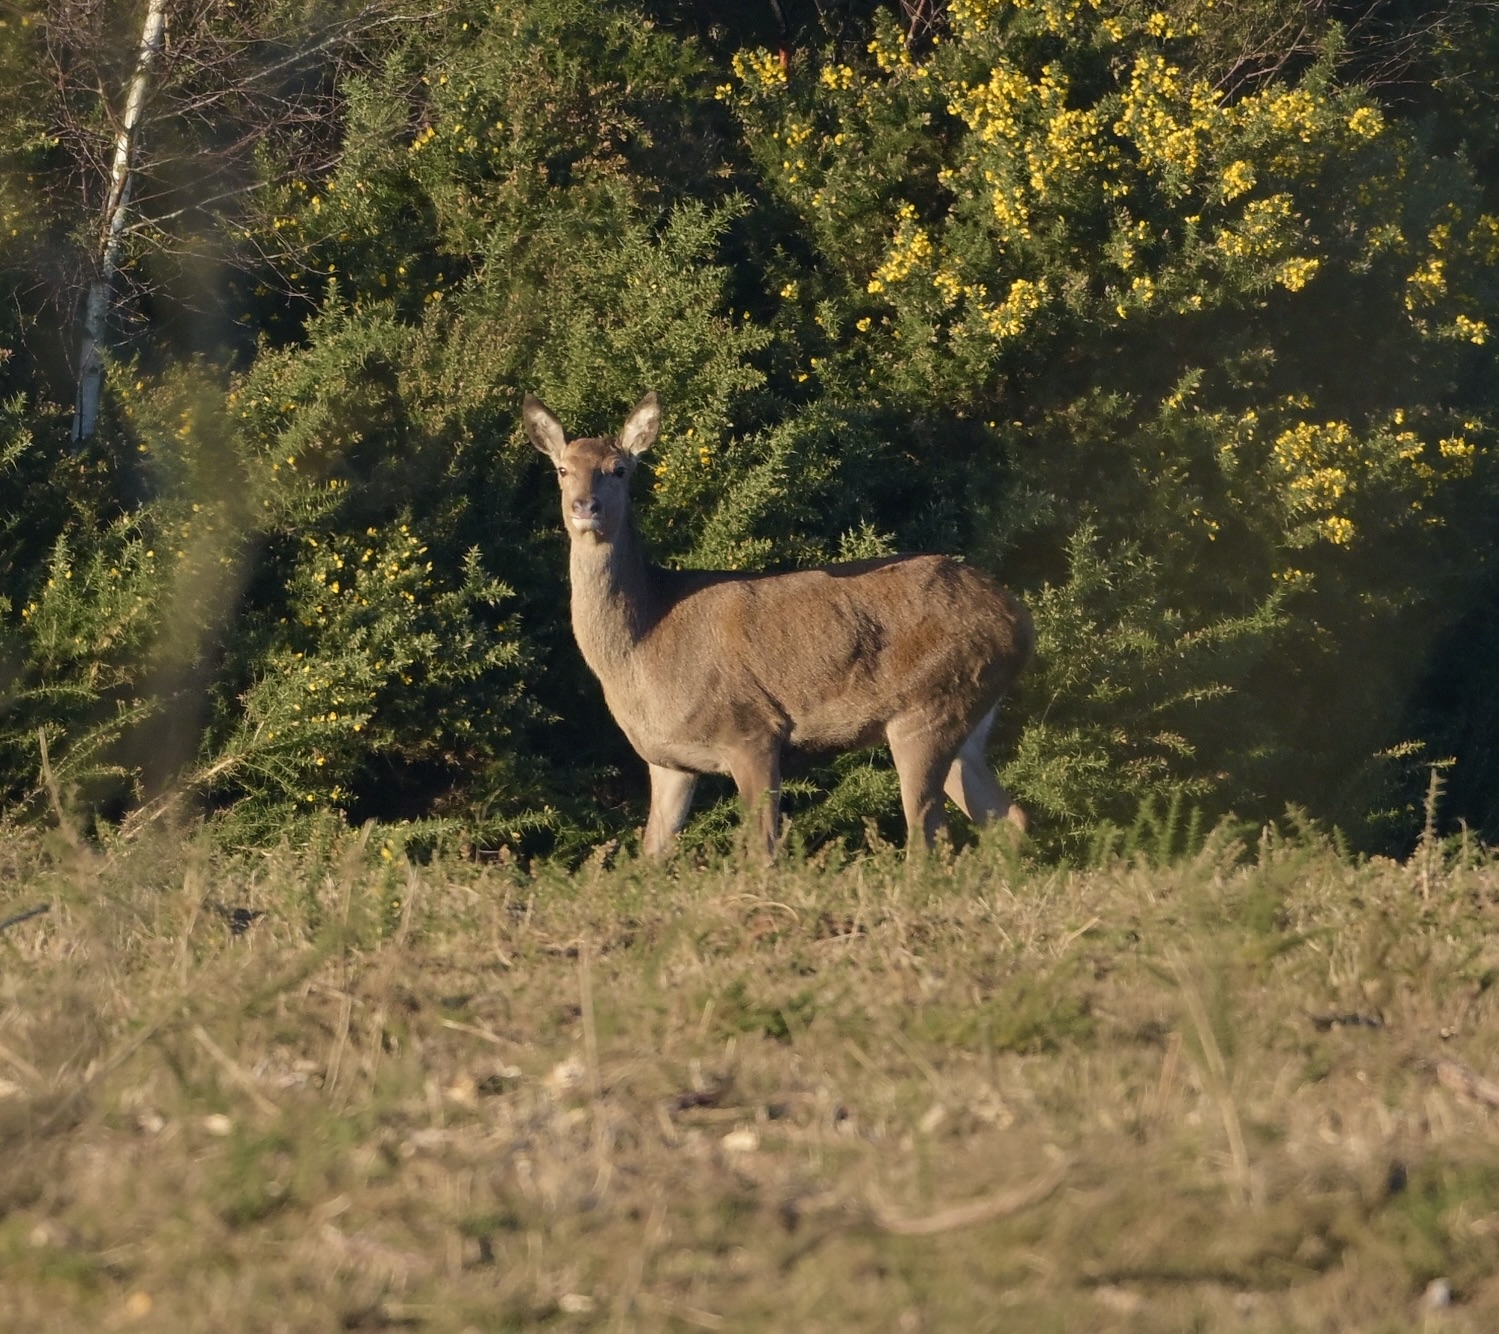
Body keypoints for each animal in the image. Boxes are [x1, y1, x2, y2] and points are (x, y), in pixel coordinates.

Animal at [524, 389, 1031, 857]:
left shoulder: (753, 731)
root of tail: (1019, 618)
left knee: (929, 835)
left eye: (619, 469)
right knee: (1008, 817)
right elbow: (651, 855)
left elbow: (763, 848)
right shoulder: (669, 761)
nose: (585, 506)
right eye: (562, 469)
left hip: (929, 705)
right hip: (967, 718)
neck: (644, 644)